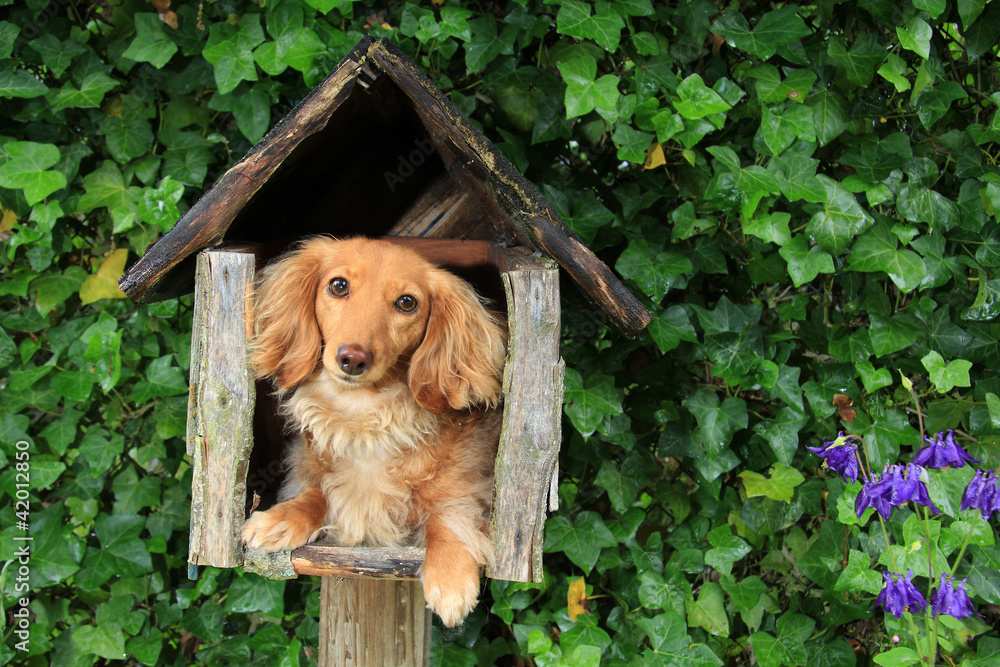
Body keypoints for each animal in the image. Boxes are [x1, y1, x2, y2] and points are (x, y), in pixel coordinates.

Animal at [243, 237, 508, 628]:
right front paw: (279, 518)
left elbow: (446, 516)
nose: (353, 358)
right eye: (339, 286)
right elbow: (318, 492)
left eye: (407, 302)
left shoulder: (472, 485)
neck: (364, 418)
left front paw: (449, 578)